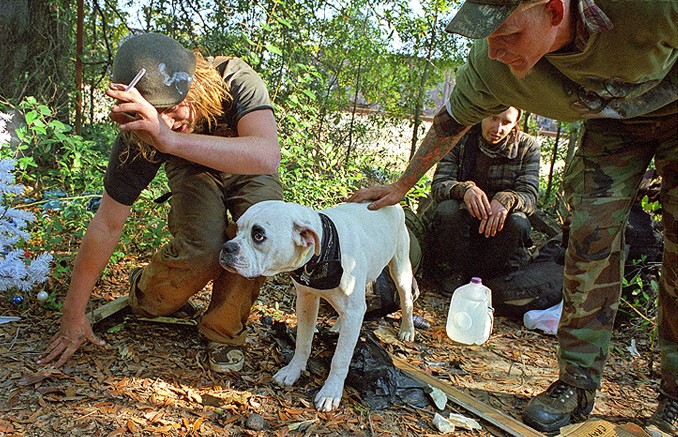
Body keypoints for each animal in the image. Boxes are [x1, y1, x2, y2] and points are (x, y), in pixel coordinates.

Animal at [220, 199, 418, 410]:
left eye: (258, 235)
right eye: (238, 229)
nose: (227, 247)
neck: (322, 251)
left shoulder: (351, 310)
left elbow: (340, 358)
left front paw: (331, 392)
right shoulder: (306, 300)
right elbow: (303, 342)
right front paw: (293, 370)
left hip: (401, 271)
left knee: (406, 301)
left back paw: (407, 329)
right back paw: (339, 326)